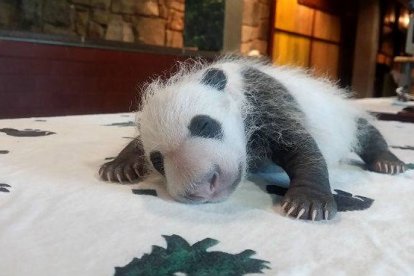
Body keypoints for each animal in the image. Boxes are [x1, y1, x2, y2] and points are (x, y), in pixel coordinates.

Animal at [98, 57, 406, 221]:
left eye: (204, 125)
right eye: (158, 161)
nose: (202, 185)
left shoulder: (266, 100)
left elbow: (302, 147)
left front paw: (308, 202)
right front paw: (119, 167)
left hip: (342, 114)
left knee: (366, 131)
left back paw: (388, 162)